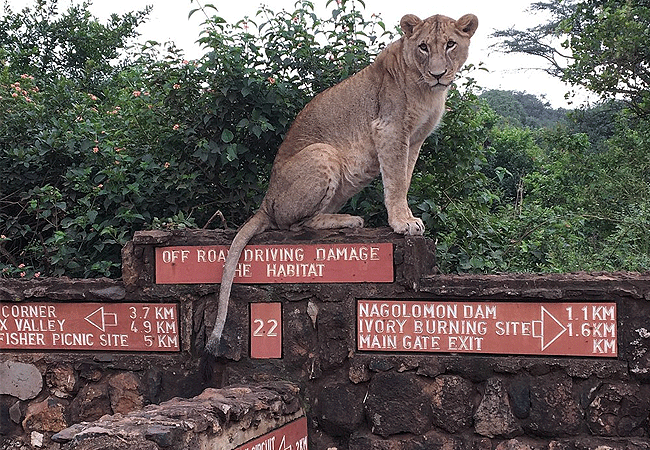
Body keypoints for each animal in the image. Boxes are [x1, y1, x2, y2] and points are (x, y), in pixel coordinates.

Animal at [205, 11, 478, 356]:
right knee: (294, 225)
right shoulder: (389, 129)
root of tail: (266, 200)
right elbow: (395, 181)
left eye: (451, 44)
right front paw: (402, 223)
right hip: (324, 152)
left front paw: (406, 217)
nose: (439, 74)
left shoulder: (414, 140)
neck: (428, 91)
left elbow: (404, 179)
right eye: (424, 47)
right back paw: (348, 220)